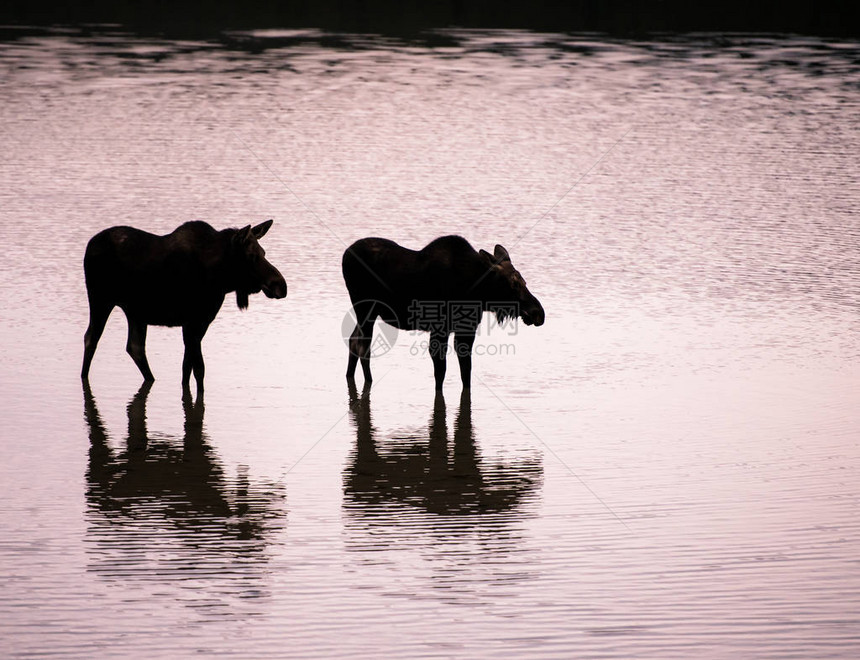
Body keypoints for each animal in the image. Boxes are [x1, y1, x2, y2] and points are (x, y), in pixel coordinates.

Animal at [79, 220, 286, 392]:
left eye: (264, 253)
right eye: (251, 255)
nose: (281, 285)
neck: (220, 279)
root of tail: (89, 246)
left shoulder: (200, 323)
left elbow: (187, 367)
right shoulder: (193, 322)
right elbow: (199, 369)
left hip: (135, 312)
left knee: (135, 347)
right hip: (100, 299)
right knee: (91, 337)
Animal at [342, 236, 544, 390]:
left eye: (524, 281)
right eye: (513, 284)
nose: (539, 313)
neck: (477, 292)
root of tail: (345, 254)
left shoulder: (466, 330)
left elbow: (466, 371)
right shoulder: (440, 329)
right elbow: (441, 372)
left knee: (353, 341)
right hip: (365, 308)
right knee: (363, 346)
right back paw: (368, 381)